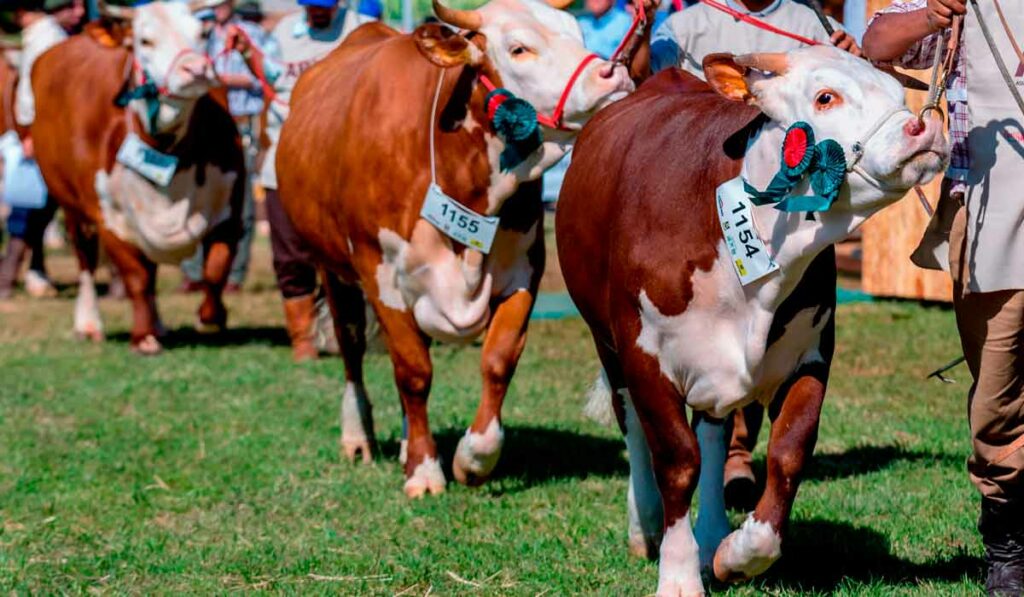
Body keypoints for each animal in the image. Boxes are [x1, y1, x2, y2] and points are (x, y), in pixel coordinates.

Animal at [557, 47, 946, 597]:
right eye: (825, 97)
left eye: (896, 92)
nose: (924, 127)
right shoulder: (645, 355)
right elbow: (676, 461)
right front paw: (678, 575)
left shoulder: (810, 353)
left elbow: (787, 453)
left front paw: (735, 554)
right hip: (606, 343)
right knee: (632, 426)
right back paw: (646, 525)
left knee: (714, 434)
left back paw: (712, 534)